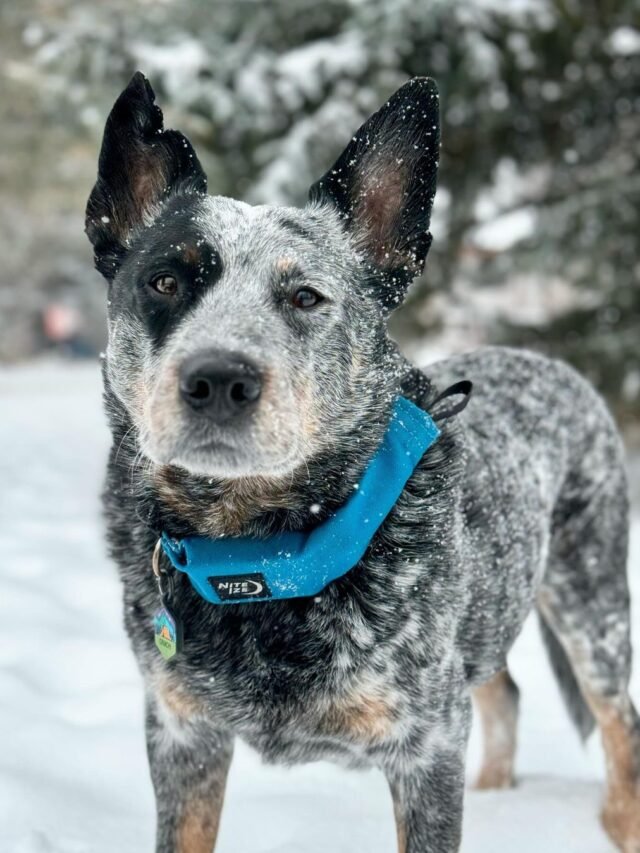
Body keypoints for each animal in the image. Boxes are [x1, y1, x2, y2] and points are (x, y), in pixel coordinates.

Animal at [85, 75, 640, 852]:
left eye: (305, 296)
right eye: (165, 282)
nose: (219, 379)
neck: (264, 556)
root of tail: (545, 361)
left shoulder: (426, 743)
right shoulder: (179, 729)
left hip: (592, 601)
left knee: (620, 721)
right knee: (504, 690)